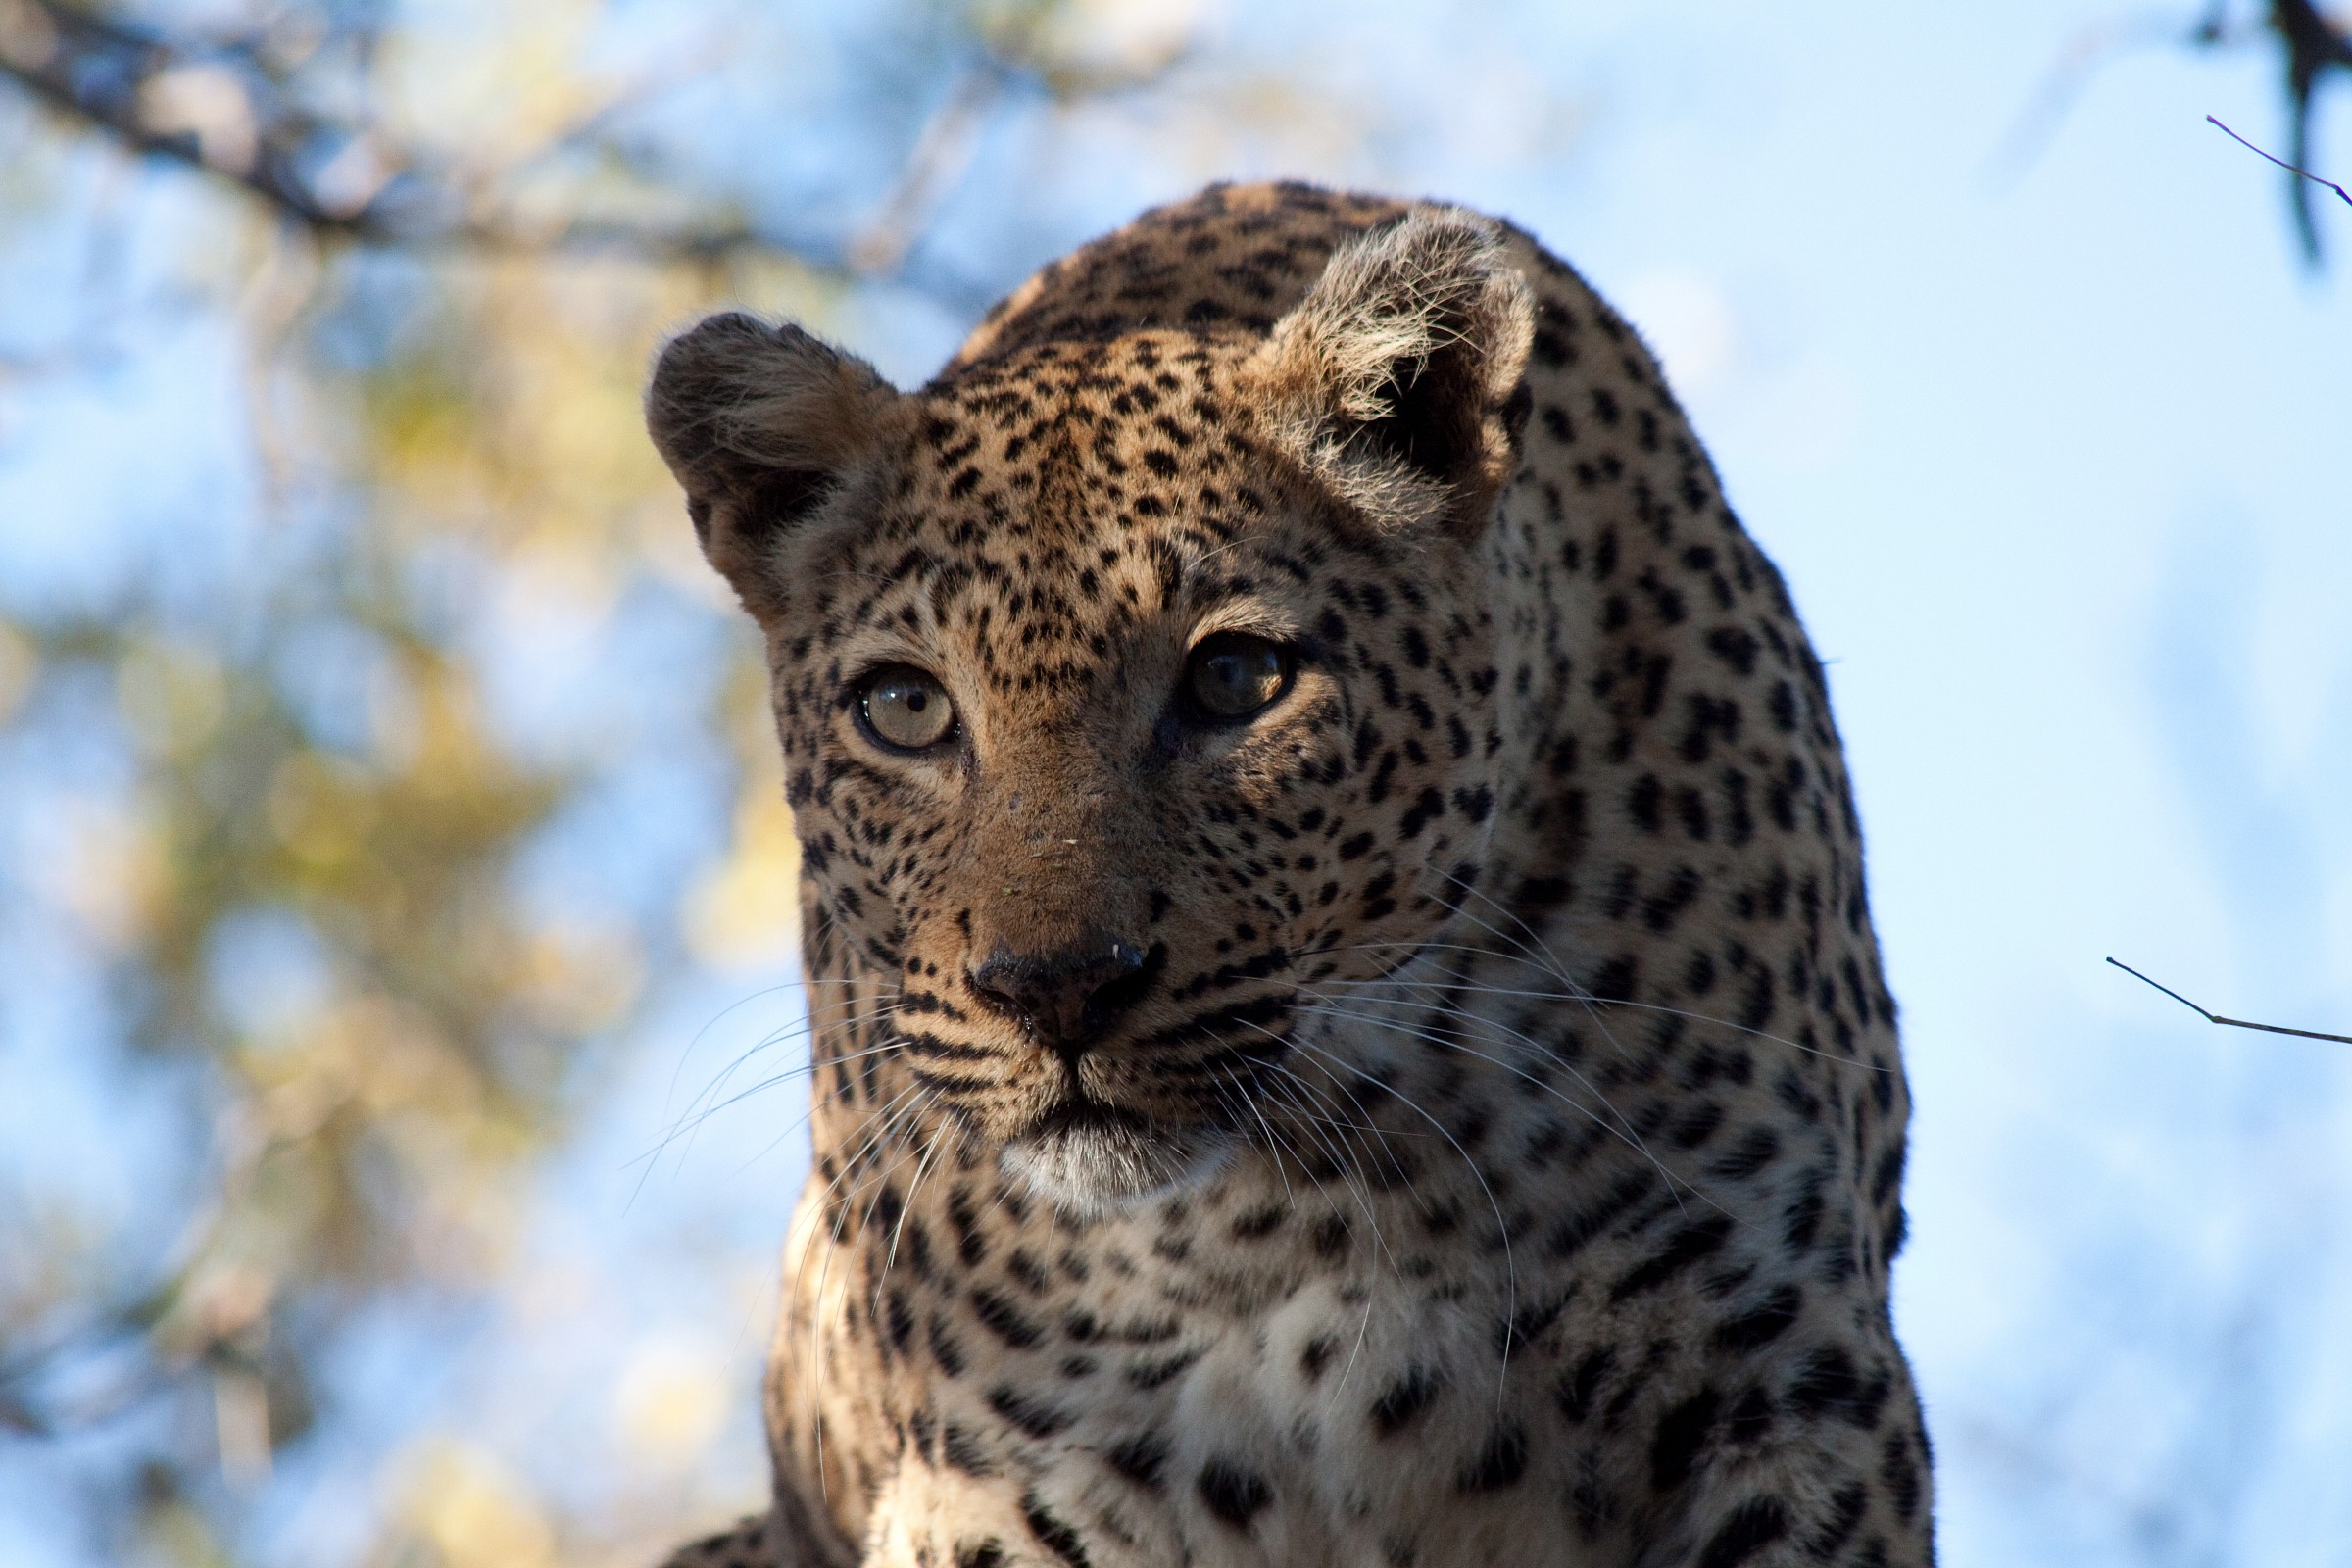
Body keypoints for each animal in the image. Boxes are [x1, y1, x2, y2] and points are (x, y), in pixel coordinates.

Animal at [642, 181, 1932, 1568]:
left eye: (1237, 679)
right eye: (904, 709)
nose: (1056, 990)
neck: (1306, 1204)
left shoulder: (1780, 1383)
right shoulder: (1000, 1470)